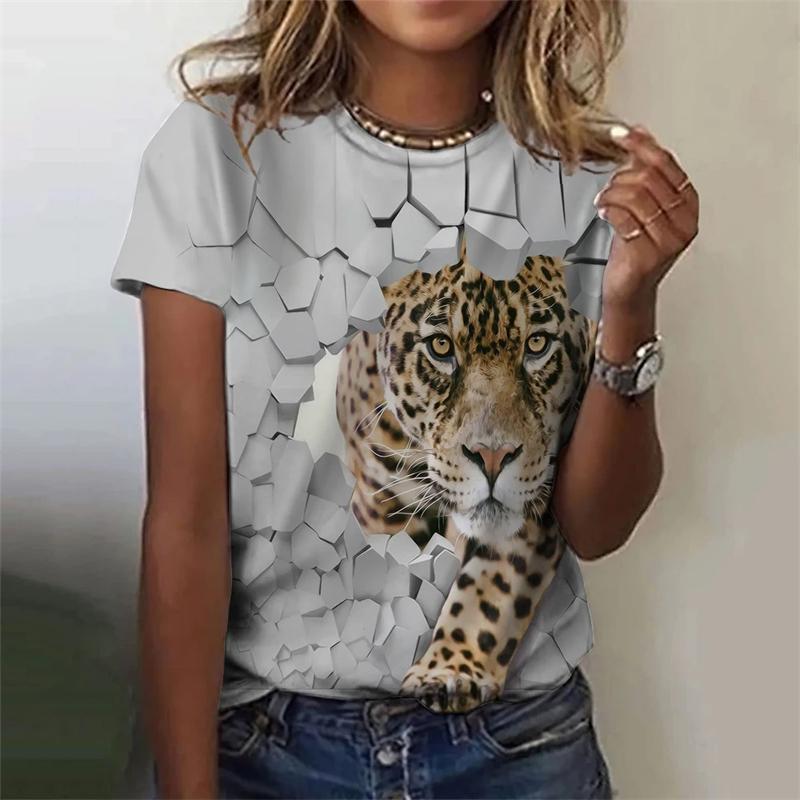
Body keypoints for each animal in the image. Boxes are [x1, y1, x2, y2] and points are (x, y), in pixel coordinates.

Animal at [335, 251, 597, 712]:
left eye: (537, 345)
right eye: (441, 347)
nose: (492, 457)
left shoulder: (534, 507)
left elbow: (488, 592)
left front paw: (450, 671)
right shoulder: (383, 505)